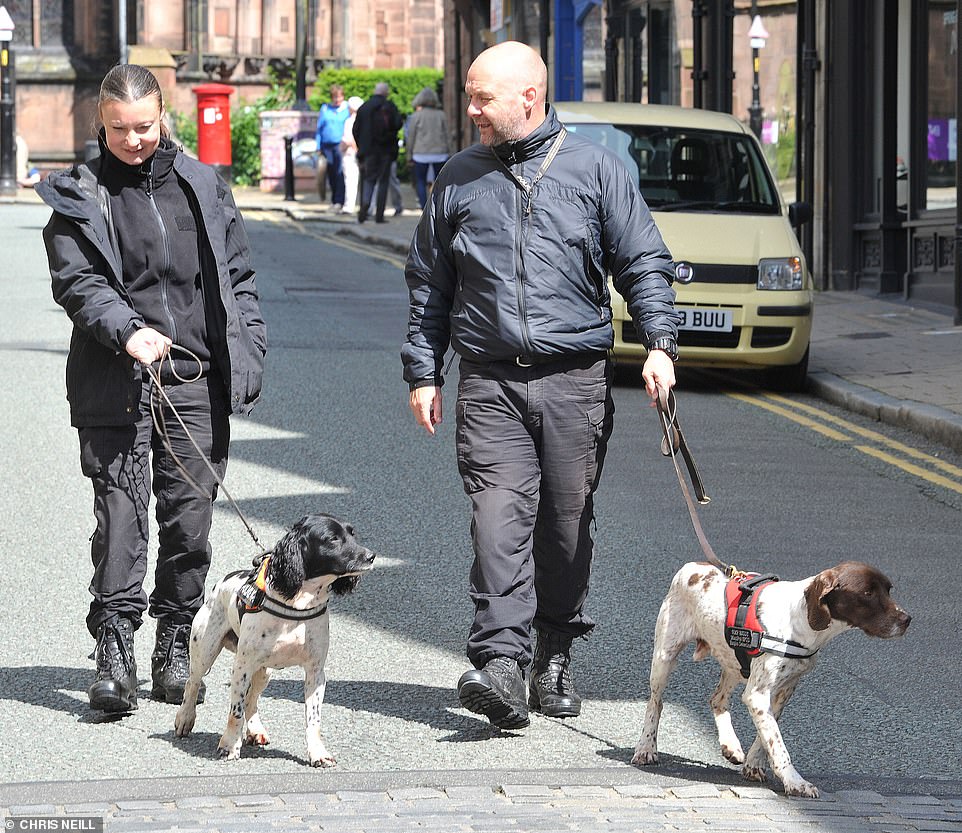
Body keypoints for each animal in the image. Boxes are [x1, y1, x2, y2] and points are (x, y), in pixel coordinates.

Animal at [175, 512, 376, 768]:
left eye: (352, 534)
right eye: (332, 538)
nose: (371, 556)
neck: (297, 604)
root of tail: (221, 582)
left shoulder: (315, 672)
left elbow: (313, 718)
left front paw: (318, 752)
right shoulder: (241, 667)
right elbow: (235, 712)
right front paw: (229, 746)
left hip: (264, 671)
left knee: (252, 699)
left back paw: (255, 730)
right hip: (205, 651)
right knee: (192, 684)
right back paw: (184, 718)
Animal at [632, 564, 912, 796]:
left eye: (888, 590)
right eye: (867, 593)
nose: (907, 620)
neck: (800, 619)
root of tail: (692, 567)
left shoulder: (782, 690)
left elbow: (767, 735)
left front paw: (753, 764)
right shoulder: (758, 694)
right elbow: (778, 745)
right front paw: (795, 781)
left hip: (734, 663)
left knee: (717, 699)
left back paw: (730, 745)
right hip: (665, 657)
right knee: (656, 703)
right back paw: (646, 748)